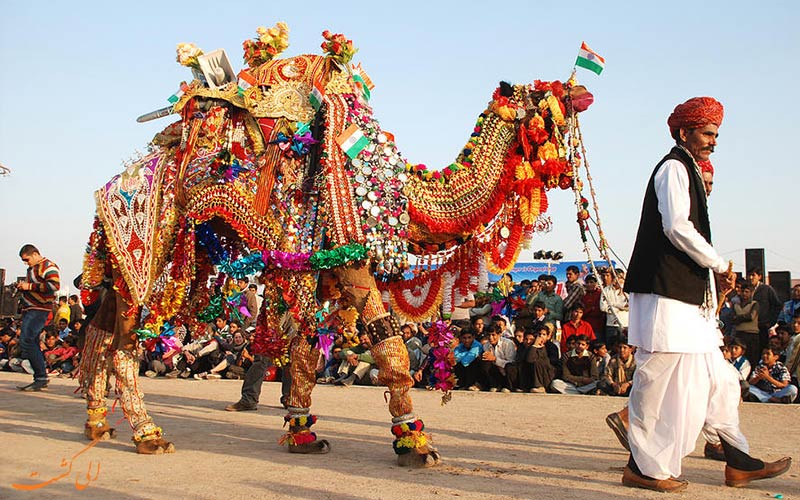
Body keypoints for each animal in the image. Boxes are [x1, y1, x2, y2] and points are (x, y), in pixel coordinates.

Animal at [78, 23, 592, 460]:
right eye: (544, 97)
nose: (581, 91)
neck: (401, 191)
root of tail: (108, 192)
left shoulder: (324, 268)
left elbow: (307, 348)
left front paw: (303, 432)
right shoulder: (350, 257)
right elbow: (387, 340)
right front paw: (416, 443)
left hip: (125, 262)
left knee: (101, 334)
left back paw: (99, 424)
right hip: (148, 246)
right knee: (124, 343)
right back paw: (148, 434)